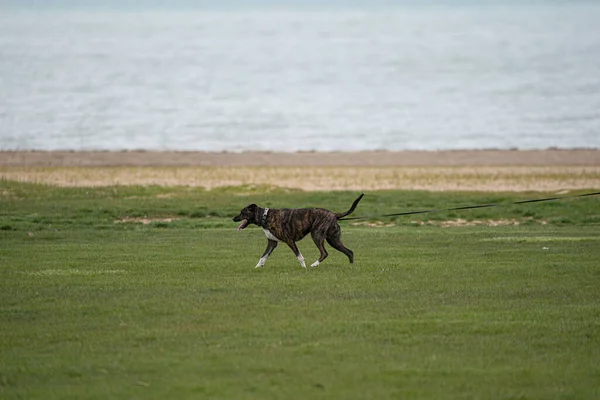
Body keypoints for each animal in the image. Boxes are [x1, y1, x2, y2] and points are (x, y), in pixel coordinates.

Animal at [233, 195, 366, 268]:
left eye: (242, 212)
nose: (233, 218)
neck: (265, 216)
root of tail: (334, 214)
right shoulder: (272, 243)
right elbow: (263, 257)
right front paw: (257, 267)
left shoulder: (289, 241)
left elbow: (299, 256)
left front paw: (304, 267)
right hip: (333, 240)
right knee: (349, 252)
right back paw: (351, 267)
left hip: (316, 236)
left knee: (324, 253)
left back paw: (314, 265)